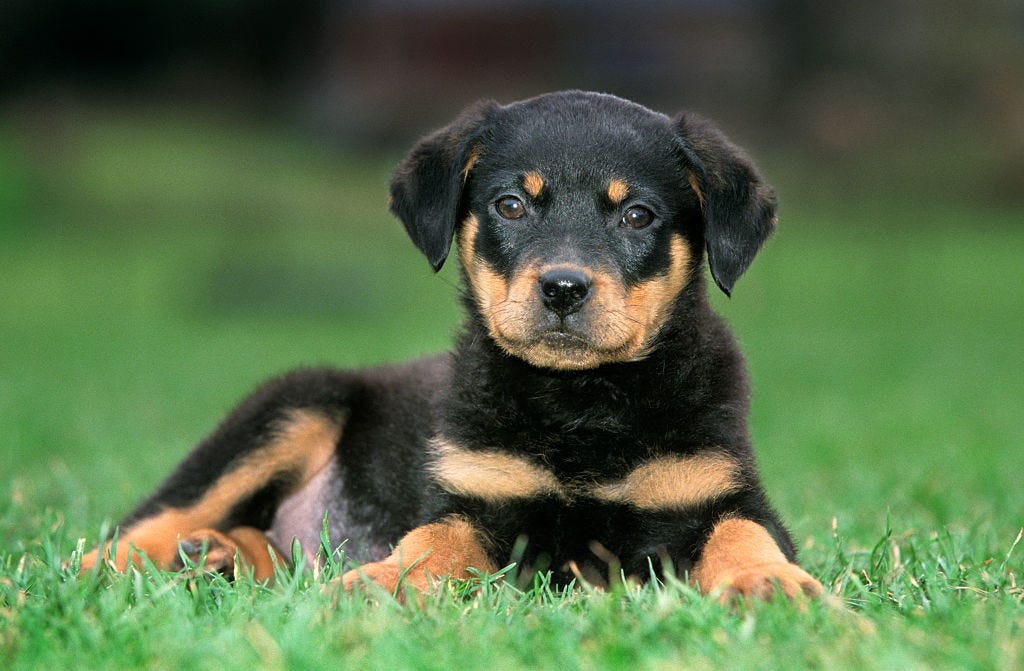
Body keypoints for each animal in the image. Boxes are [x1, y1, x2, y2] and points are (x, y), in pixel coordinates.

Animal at [83, 91, 827, 602]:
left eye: (638, 215)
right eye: (510, 205)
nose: (563, 288)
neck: (579, 402)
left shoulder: (714, 490)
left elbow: (747, 534)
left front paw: (773, 586)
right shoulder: (476, 495)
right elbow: (429, 543)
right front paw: (379, 581)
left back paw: (219, 557)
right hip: (293, 403)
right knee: (153, 517)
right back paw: (95, 574)